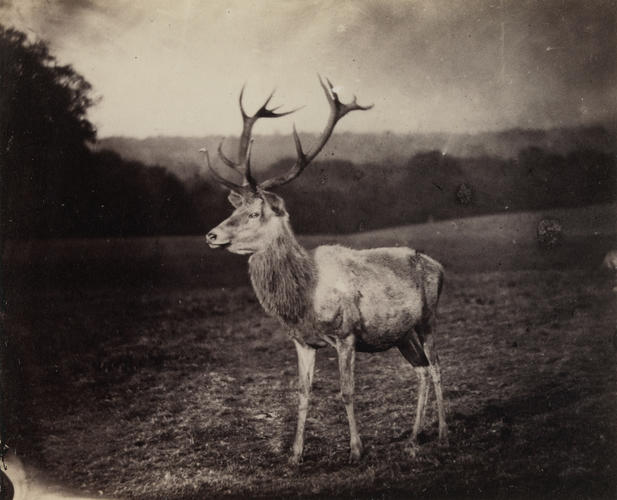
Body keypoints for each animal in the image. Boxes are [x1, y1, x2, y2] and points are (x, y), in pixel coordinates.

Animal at [203, 76, 448, 462]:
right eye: (233, 209)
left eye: (254, 213)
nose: (211, 234)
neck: (304, 299)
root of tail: (439, 266)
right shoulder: (302, 341)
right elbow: (303, 393)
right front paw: (295, 454)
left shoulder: (346, 334)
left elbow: (346, 391)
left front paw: (356, 451)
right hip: (401, 332)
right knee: (422, 370)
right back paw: (412, 438)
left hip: (428, 318)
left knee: (437, 367)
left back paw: (443, 433)